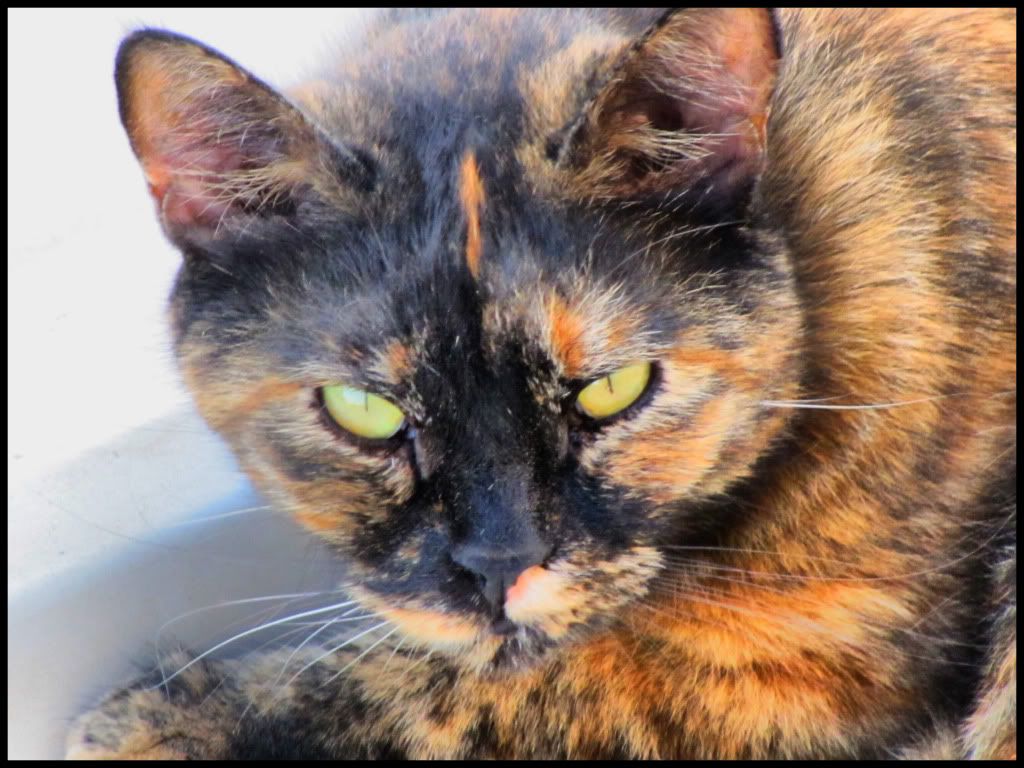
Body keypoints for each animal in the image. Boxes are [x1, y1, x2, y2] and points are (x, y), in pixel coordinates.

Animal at [68, 8, 1014, 759]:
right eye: (363, 410)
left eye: (612, 390)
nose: (498, 568)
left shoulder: (802, 659)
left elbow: (481, 686)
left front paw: (172, 719)